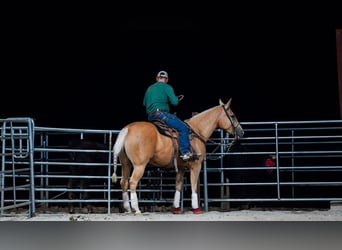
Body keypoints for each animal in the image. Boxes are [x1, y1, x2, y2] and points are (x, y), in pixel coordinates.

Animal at [111, 98, 243, 214]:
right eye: (232, 116)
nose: (241, 132)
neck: (197, 131)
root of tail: (128, 129)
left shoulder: (181, 168)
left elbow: (178, 186)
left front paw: (177, 209)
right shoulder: (196, 166)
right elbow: (194, 186)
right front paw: (196, 209)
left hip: (126, 164)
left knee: (124, 182)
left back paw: (128, 209)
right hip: (139, 165)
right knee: (133, 182)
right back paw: (136, 209)